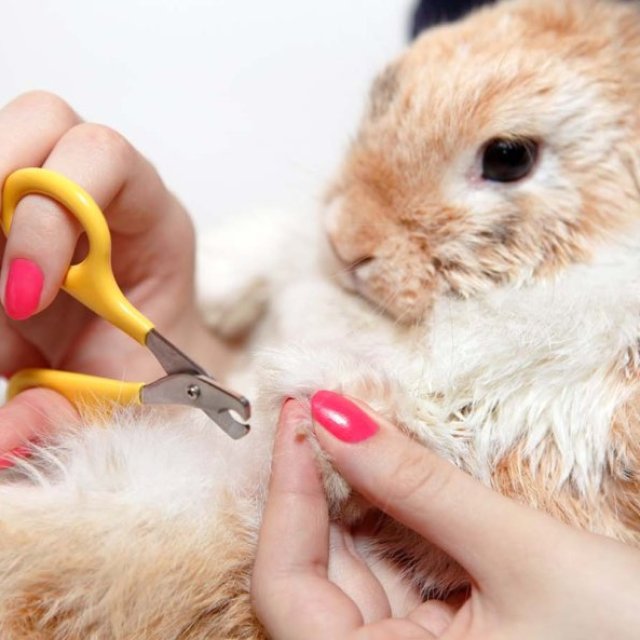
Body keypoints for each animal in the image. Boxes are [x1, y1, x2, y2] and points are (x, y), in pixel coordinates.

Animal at [1, 0, 640, 637]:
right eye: (382, 95)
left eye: (509, 157)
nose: (346, 243)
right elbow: (285, 243)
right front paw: (221, 280)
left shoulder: (564, 446)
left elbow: (454, 444)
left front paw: (317, 393)